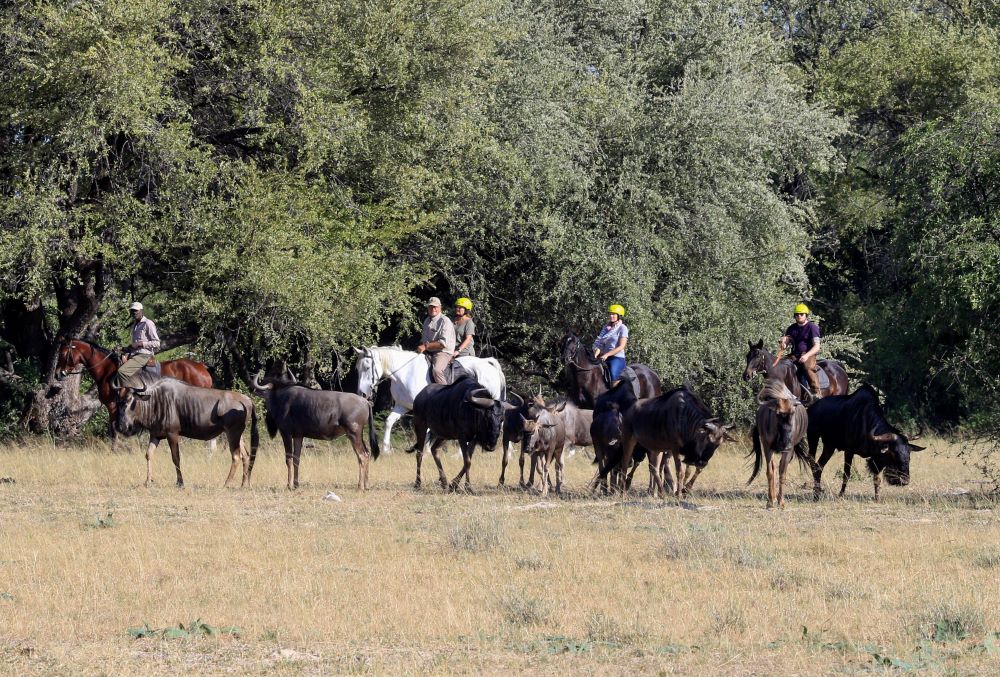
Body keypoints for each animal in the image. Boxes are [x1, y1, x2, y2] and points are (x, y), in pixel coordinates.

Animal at [56, 338, 213, 448]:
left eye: (63, 354)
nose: (58, 374)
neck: (107, 371)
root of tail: (201, 366)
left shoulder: (113, 405)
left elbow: (114, 427)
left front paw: (114, 449)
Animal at [354, 346, 508, 452]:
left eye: (367, 367)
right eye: (357, 369)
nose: (361, 394)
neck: (406, 373)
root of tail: (488, 362)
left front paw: (426, 449)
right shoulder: (401, 406)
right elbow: (388, 422)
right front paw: (386, 450)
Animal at [748, 380, 808, 508]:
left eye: (793, 412)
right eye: (777, 413)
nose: (785, 443)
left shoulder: (788, 450)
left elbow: (782, 473)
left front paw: (781, 502)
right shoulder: (767, 447)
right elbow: (770, 472)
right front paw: (770, 501)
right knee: (773, 467)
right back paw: (773, 497)